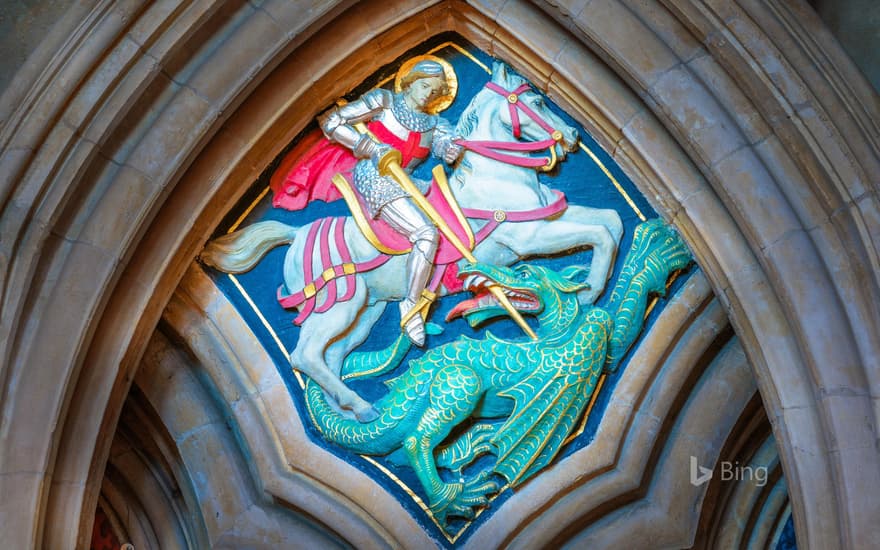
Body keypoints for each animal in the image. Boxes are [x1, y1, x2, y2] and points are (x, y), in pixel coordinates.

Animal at [203, 61, 624, 422]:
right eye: (535, 101)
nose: (573, 137)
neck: (495, 176)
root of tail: (297, 233)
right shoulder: (529, 236)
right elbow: (599, 234)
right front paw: (588, 292)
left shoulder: (549, 217)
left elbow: (612, 222)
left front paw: (593, 287)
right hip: (338, 305)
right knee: (304, 355)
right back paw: (366, 404)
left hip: (364, 312)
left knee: (330, 357)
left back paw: (349, 414)